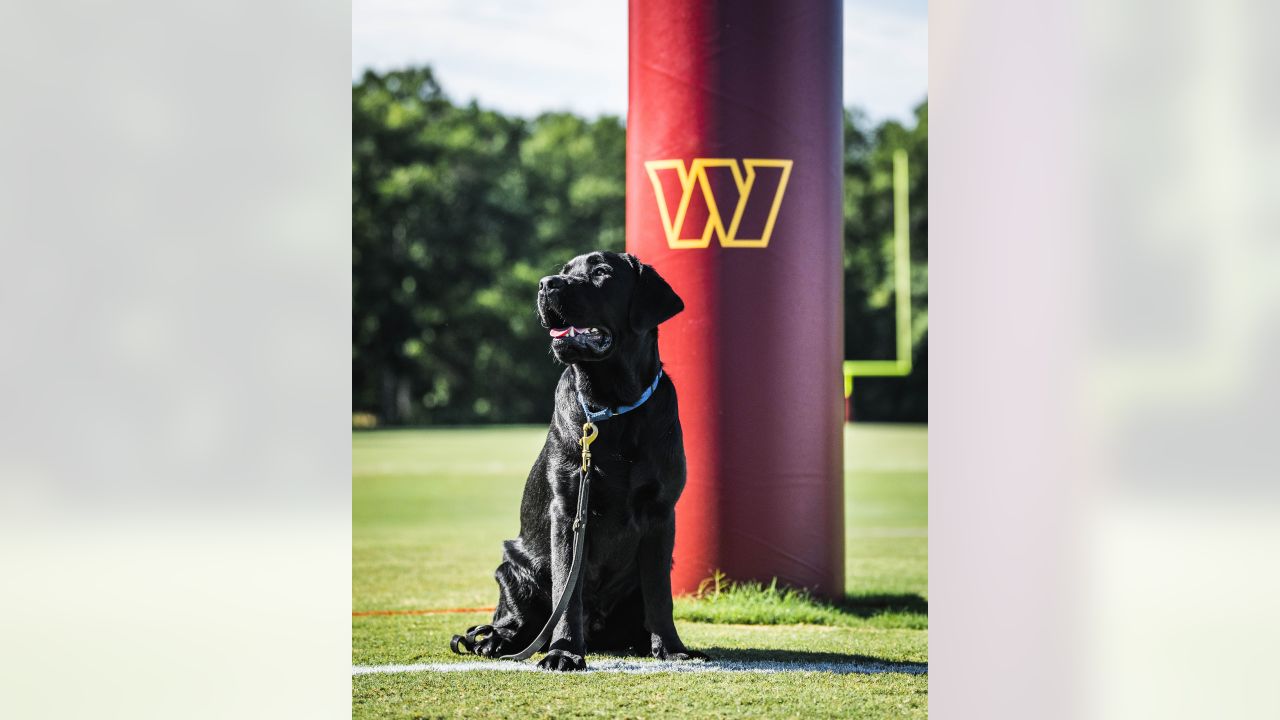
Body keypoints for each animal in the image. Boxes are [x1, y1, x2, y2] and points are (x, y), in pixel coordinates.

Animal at [450, 249, 706, 671]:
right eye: (564, 271)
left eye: (601, 272)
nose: (545, 284)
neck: (612, 406)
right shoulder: (569, 510)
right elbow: (566, 595)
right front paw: (564, 651)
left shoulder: (659, 511)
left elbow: (660, 594)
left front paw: (671, 648)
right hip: (512, 567)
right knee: (511, 621)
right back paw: (496, 642)